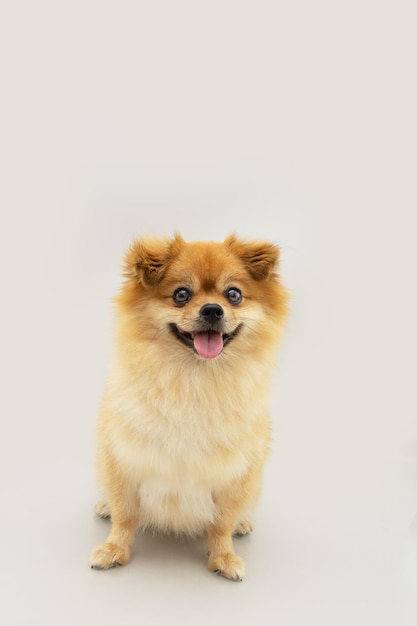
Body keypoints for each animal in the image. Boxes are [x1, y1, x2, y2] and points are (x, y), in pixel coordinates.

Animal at [89, 232, 288, 576]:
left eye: (233, 294)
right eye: (181, 294)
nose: (212, 310)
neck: (194, 382)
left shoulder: (235, 473)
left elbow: (222, 522)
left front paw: (223, 557)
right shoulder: (123, 459)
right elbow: (125, 514)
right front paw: (114, 549)